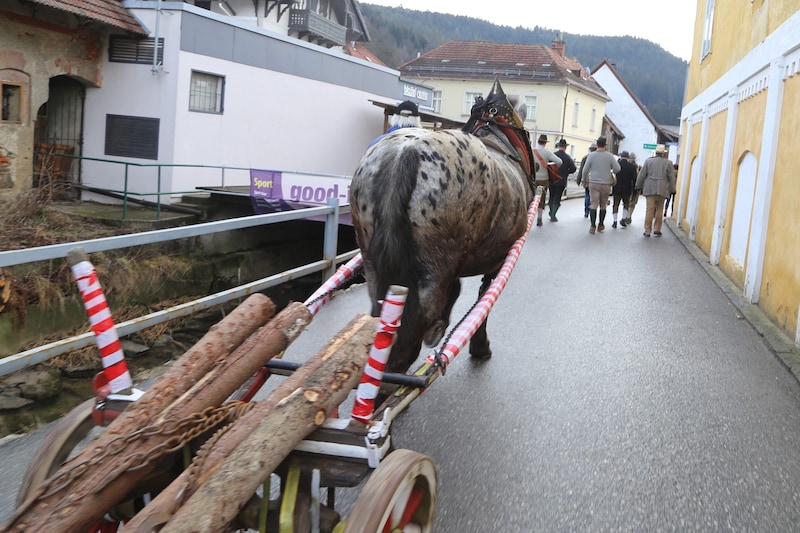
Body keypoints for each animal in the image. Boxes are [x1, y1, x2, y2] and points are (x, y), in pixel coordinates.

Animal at [350, 79, 536, 376]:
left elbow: (459, 289)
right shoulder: (498, 262)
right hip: (434, 270)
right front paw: (479, 346)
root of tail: (406, 153)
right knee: (407, 337)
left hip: (375, 265)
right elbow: (483, 301)